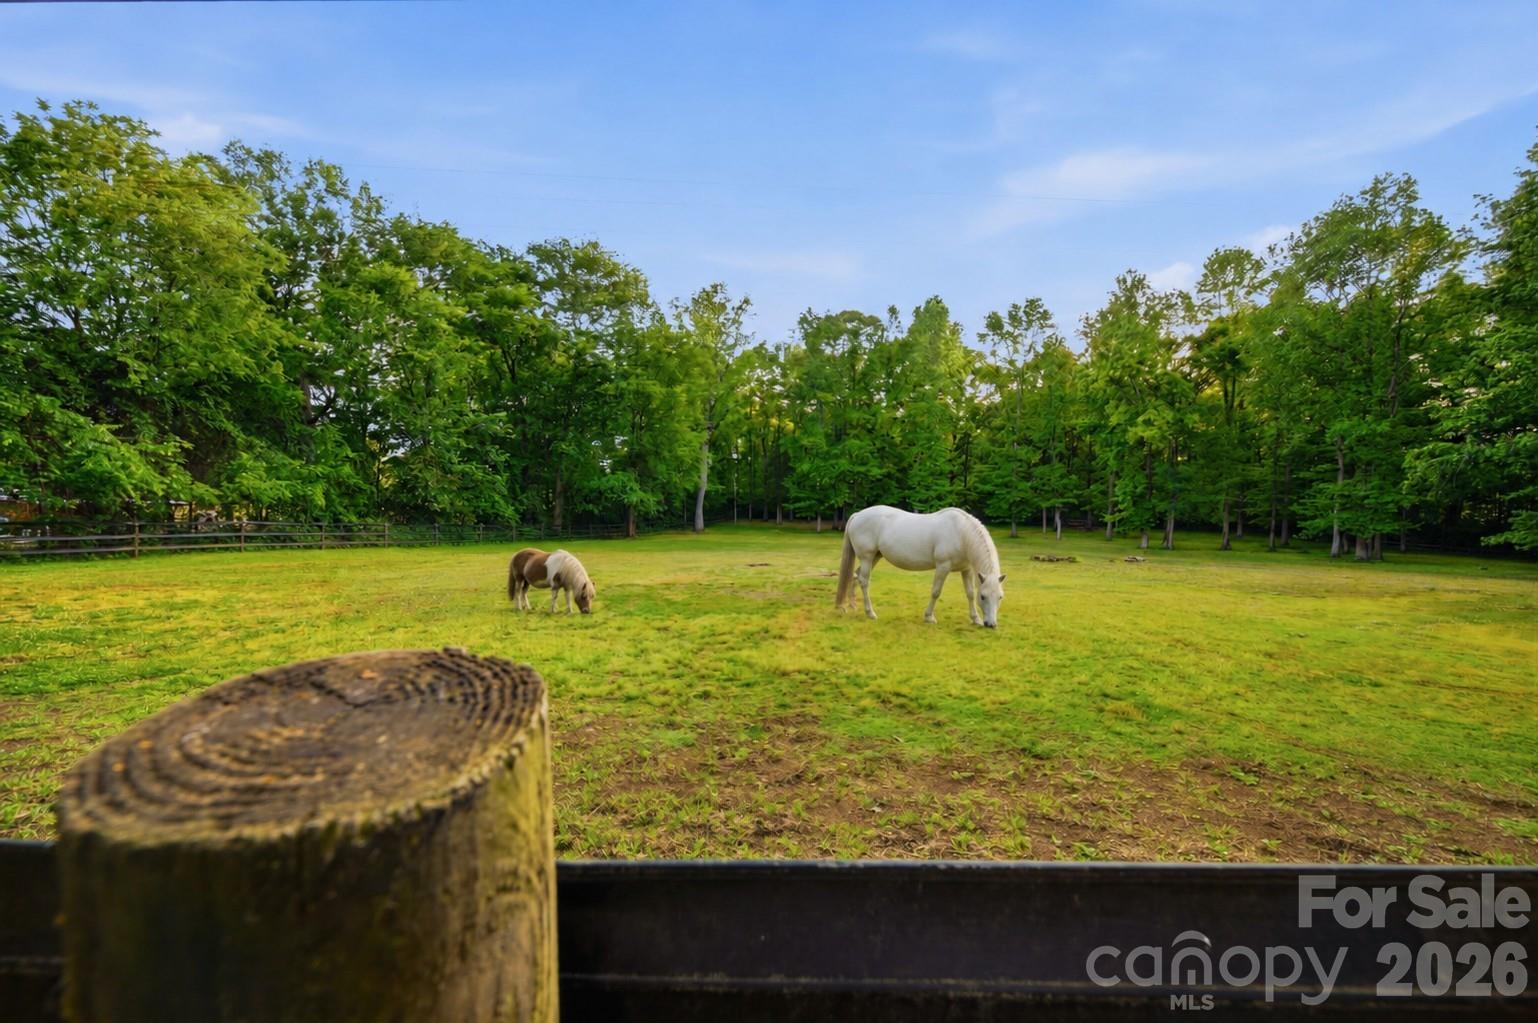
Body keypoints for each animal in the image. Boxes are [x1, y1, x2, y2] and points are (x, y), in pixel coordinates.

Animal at [835, 506, 1006, 627]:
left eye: (1000, 597)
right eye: (983, 596)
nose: (991, 625)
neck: (961, 533)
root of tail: (858, 515)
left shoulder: (966, 569)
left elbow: (970, 593)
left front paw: (975, 619)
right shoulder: (943, 566)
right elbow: (936, 592)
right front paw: (929, 617)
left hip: (874, 557)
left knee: (856, 575)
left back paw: (852, 605)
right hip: (867, 557)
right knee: (864, 581)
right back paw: (870, 613)